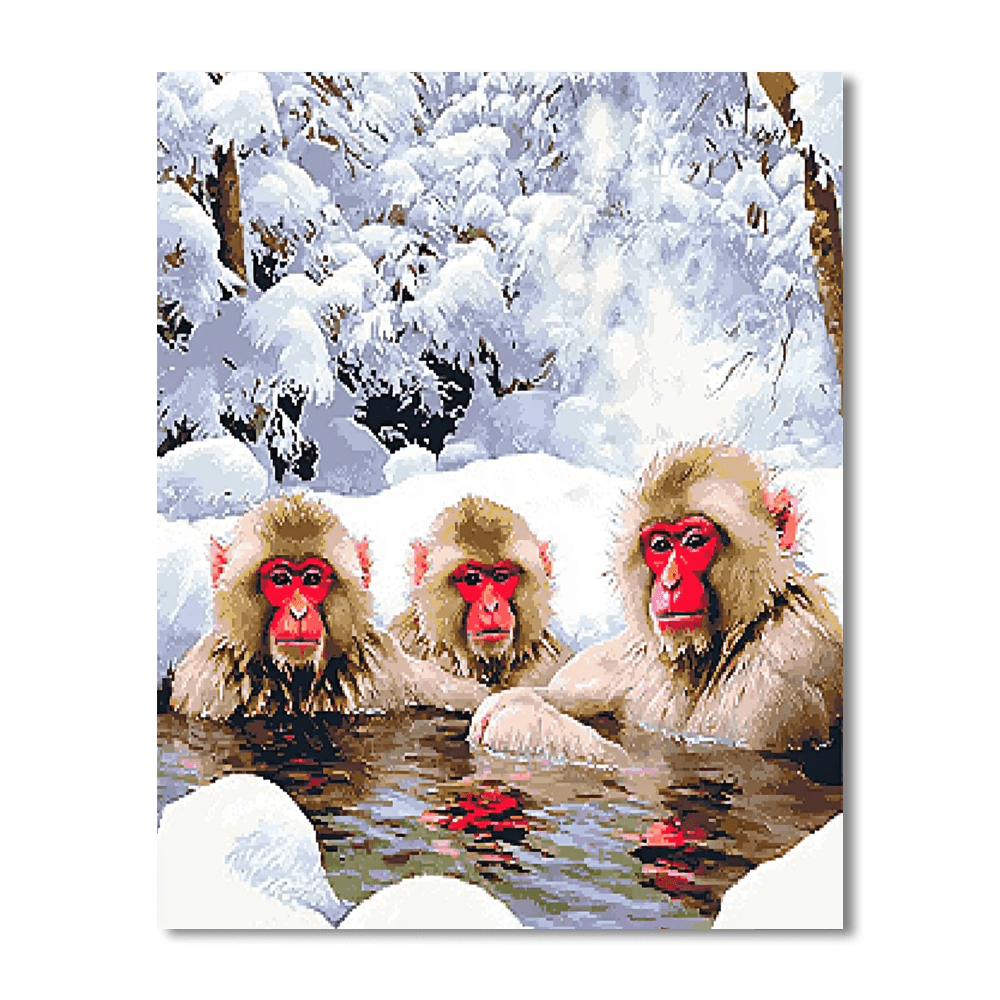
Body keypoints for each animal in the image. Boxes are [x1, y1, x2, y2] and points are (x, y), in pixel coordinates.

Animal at [470, 443, 843, 761]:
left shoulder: (787, 666)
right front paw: (516, 698)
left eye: (694, 541)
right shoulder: (627, 657)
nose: (669, 582)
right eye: (660, 545)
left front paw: (518, 717)